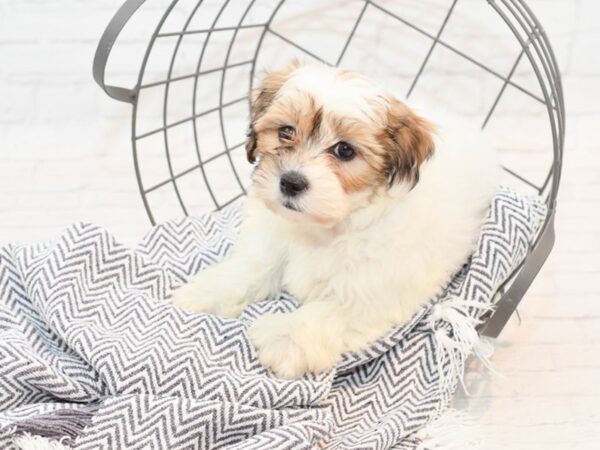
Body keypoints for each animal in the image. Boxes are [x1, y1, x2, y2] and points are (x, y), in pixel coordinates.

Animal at [171, 61, 500, 380]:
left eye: (345, 150)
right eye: (286, 131)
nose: (290, 182)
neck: (323, 228)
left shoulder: (371, 288)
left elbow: (330, 310)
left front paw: (287, 339)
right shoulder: (272, 242)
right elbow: (252, 269)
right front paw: (206, 292)